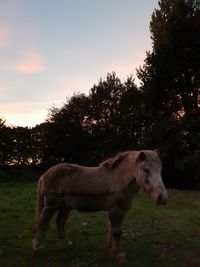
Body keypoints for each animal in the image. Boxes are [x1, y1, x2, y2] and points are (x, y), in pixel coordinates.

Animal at [32, 150, 167, 264]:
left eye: (160, 170)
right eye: (146, 170)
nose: (162, 198)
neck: (119, 180)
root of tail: (44, 175)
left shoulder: (115, 212)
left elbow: (112, 231)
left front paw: (112, 251)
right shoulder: (117, 212)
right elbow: (117, 233)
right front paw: (119, 255)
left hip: (64, 206)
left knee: (60, 221)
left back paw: (65, 244)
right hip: (51, 207)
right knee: (43, 222)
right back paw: (39, 248)